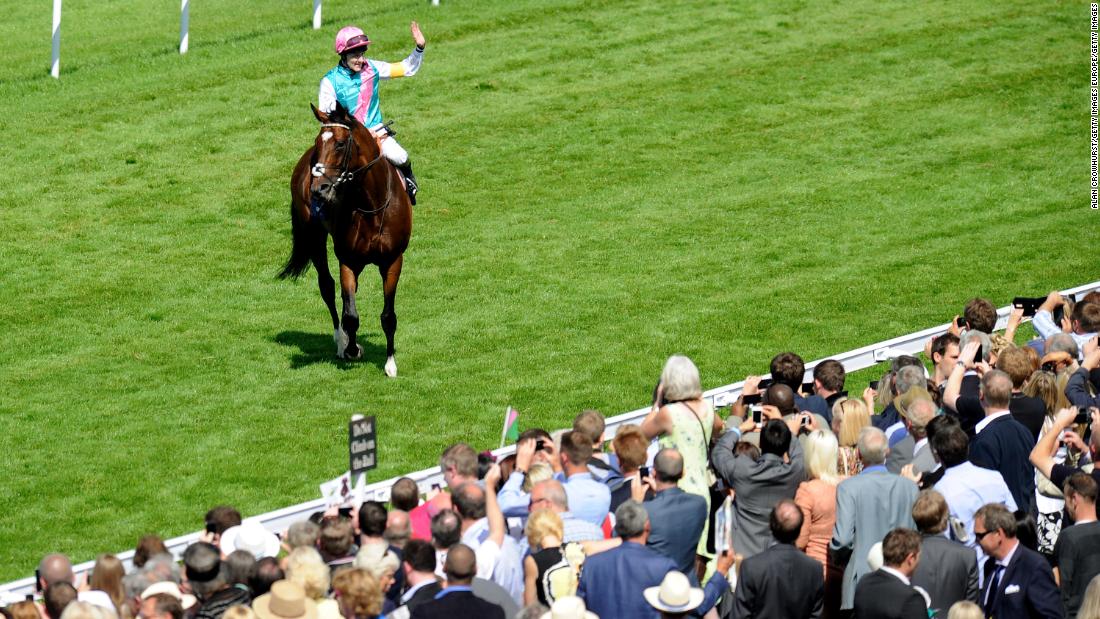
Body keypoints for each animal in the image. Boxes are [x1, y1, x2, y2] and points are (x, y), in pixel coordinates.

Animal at [275, 103, 413, 376]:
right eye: (318, 142)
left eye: (340, 144)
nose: (319, 189)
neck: (371, 207)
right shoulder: (348, 260)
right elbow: (350, 314)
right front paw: (351, 349)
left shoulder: (393, 260)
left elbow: (388, 315)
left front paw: (390, 363)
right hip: (314, 237)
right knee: (327, 287)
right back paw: (341, 341)